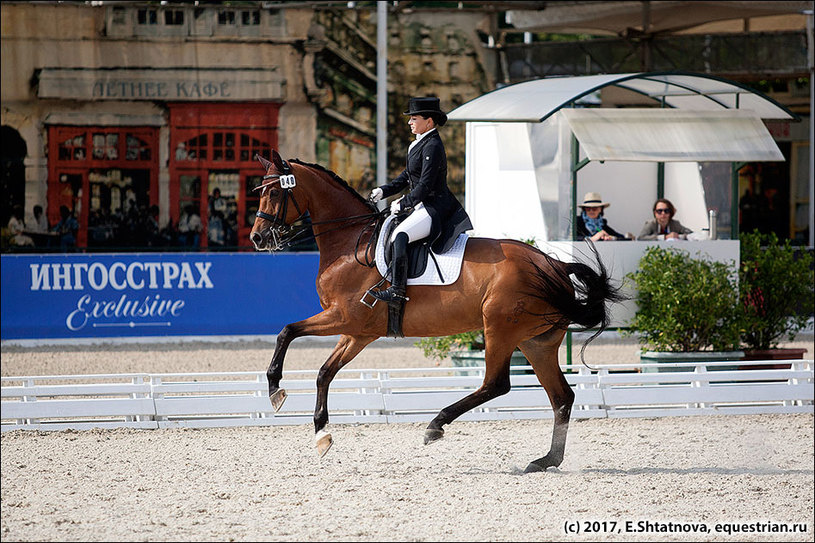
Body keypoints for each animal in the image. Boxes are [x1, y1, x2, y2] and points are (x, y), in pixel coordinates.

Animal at [252, 151, 620, 474]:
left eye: (274, 191)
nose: (257, 238)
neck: (350, 244)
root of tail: (555, 265)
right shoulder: (358, 333)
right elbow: (324, 372)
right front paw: (321, 434)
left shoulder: (344, 317)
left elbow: (287, 331)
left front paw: (275, 391)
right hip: (536, 342)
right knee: (561, 397)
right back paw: (545, 461)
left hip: (499, 328)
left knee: (496, 384)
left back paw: (435, 425)